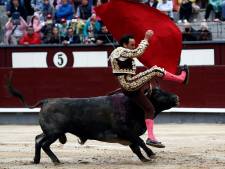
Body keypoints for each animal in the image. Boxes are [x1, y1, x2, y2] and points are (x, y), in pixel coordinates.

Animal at [7, 77, 178, 164]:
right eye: (158, 94)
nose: (176, 97)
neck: (134, 105)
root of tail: (46, 100)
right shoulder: (127, 131)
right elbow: (140, 142)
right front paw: (151, 154)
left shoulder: (129, 135)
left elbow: (136, 147)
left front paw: (144, 159)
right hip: (54, 133)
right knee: (44, 144)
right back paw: (56, 161)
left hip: (51, 132)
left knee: (38, 139)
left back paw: (36, 160)